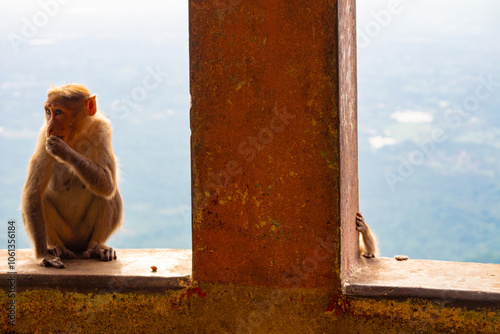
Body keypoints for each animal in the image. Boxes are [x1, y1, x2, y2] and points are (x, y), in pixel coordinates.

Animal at [21, 84, 123, 268]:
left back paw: (97, 247)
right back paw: (57, 248)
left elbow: (108, 184)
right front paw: (42, 255)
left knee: (107, 193)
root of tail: (76, 247)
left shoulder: (103, 129)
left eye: (58, 112)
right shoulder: (43, 139)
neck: (75, 136)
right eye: (48, 112)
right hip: (66, 235)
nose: (50, 127)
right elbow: (33, 192)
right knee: (41, 198)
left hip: (83, 235)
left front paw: (64, 152)